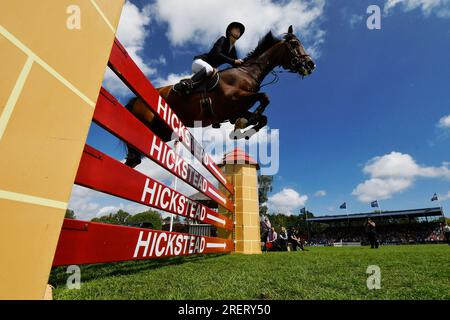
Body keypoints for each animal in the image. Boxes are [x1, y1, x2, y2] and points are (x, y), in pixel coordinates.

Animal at [125, 26, 316, 168]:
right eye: (294, 43)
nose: (311, 64)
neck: (248, 72)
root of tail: (136, 98)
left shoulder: (237, 109)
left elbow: (263, 118)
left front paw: (242, 130)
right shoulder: (234, 98)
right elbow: (265, 97)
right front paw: (246, 123)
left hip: (162, 131)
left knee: (136, 155)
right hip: (145, 122)